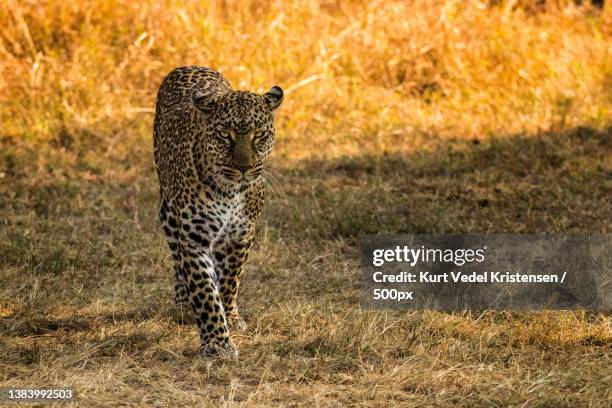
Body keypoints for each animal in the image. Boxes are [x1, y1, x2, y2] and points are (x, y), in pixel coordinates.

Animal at [154, 66, 286, 356]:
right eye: (225, 135)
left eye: (260, 135)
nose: (244, 168)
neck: (230, 191)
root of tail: (191, 66)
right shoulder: (194, 236)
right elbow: (204, 291)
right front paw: (217, 342)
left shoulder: (242, 233)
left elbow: (230, 280)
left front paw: (230, 317)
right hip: (167, 211)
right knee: (177, 261)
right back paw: (182, 303)